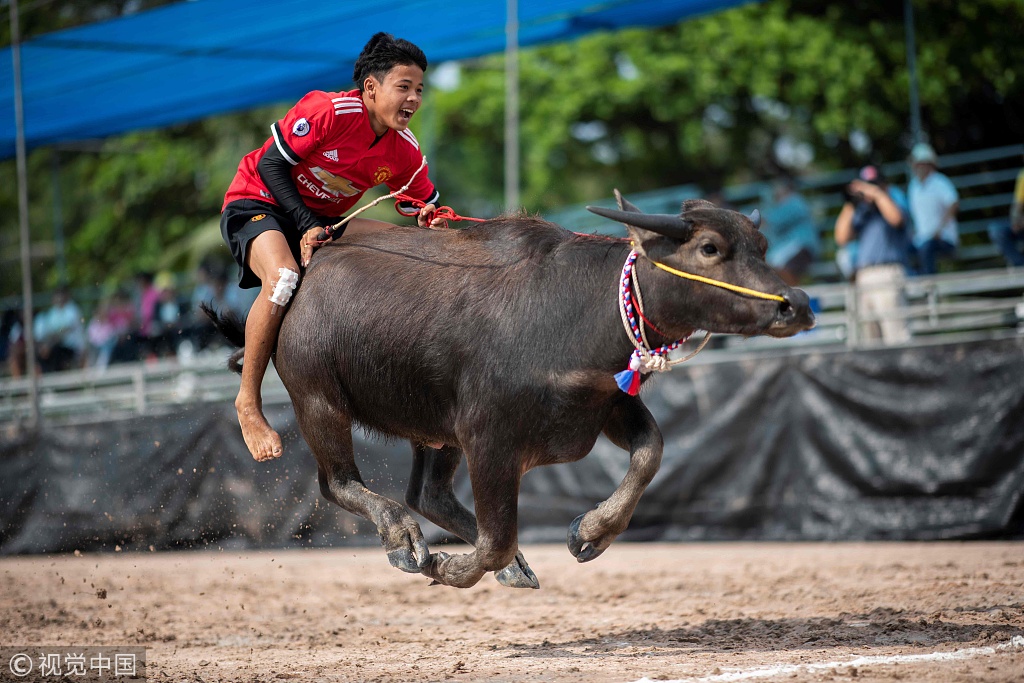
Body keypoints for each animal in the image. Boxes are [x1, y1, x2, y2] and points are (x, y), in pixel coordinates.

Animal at [205, 192, 815, 589]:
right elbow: (497, 535)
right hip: (319, 401)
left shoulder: (605, 404)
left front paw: (591, 531)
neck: (577, 309)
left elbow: (651, 453)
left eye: (761, 245)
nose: (798, 305)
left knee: (427, 493)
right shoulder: (489, 440)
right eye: (710, 248)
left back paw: (504, 560)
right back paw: (406, 540)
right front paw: (450, 568)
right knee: (339, 484)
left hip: (435, 428)